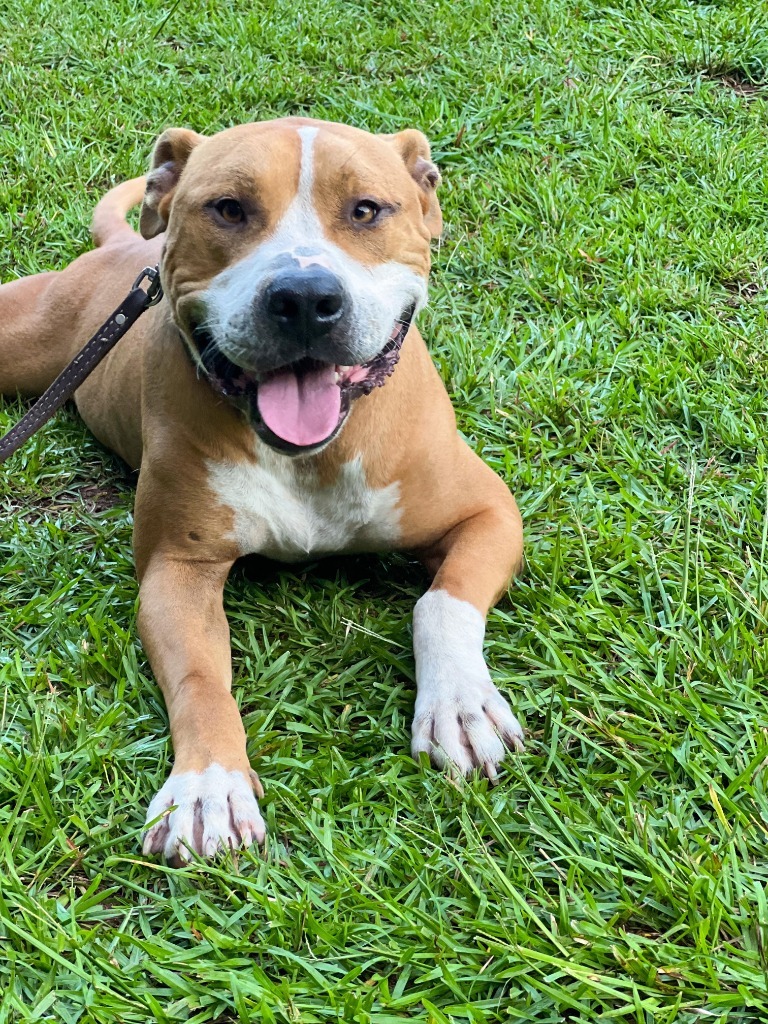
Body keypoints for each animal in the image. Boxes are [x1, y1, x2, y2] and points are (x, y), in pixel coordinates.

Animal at [0, 116, 528, 860]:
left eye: (366, 210)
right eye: (228, 209)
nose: (304, 299)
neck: (313, 455)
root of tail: (130, 248)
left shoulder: (489, 513)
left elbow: (442, 604)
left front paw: (457, 705)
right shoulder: (178, 570)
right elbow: (200, 677)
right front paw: (208, 786)